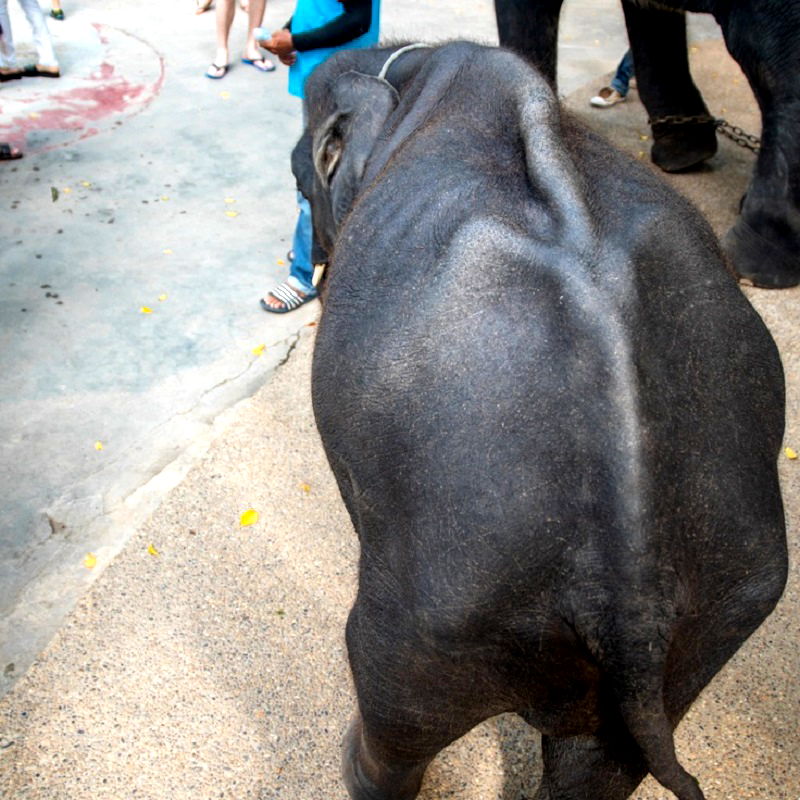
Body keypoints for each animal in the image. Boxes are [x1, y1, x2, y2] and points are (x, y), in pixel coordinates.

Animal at [290, 40, 784, 796]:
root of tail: (631, 600)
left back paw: (352, 765)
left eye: (298, 174)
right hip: (728, 598)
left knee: (393, 711)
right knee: (598, 766)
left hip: (433, 624)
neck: (408, 68)